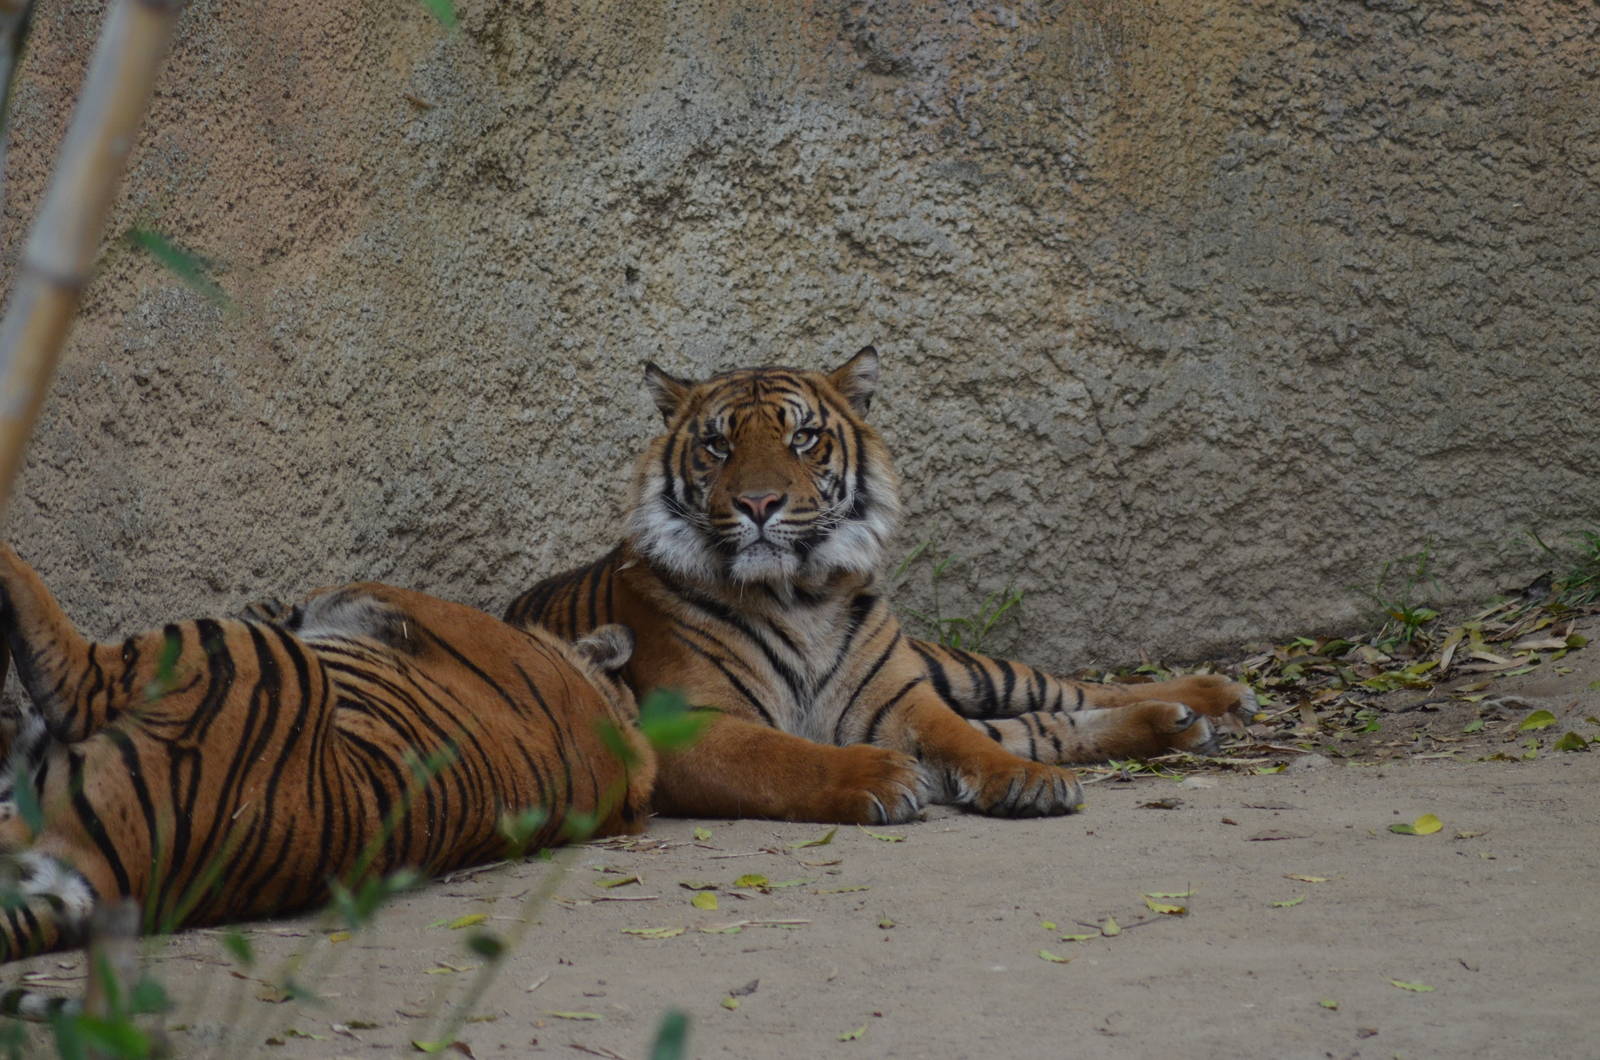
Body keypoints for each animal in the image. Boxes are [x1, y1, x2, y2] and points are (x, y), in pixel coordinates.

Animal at [0, 542, 653, 994]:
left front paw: (286, 601)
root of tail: (108, 880)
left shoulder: (405, 603)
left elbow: (337, 590)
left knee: (78, 674)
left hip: (246, 656)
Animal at [505, 347, 1254, 824]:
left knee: (1063, 694)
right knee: (1047, 722)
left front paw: (1027, 784)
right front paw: (882, 776)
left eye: (803, 438)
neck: (797, 595)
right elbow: (782, 756)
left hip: (958, 668)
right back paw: (1178, 723)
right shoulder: (685, 724)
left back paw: (1209, 699)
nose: (758, 503)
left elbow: (969, 741)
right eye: (717, 446)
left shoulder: (903, 696)